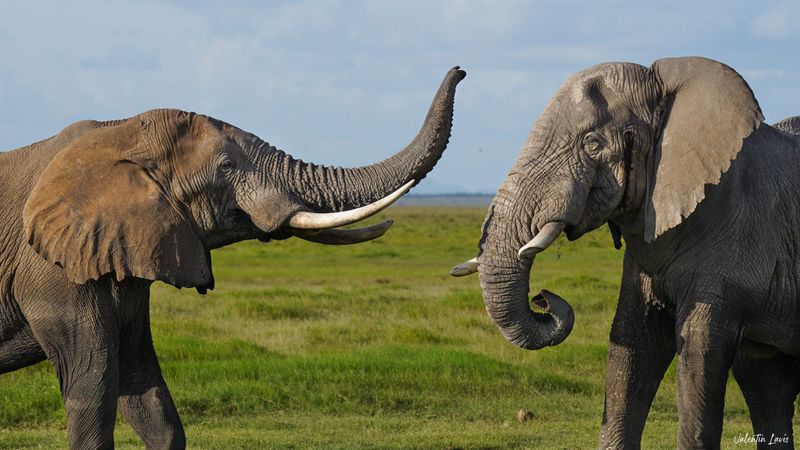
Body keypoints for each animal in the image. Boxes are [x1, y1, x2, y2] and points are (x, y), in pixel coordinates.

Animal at [0, 66, 465, 449]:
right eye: (226, 167)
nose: (461, 70)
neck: (120, 131)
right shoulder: (52, 273)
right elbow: (94, 389)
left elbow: (145, 393)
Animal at [451, 57, 800, 449]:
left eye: (592, 143)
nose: (542, 297)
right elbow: (632, 344)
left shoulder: (735, 233)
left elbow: (699, 351)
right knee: (767, 389)